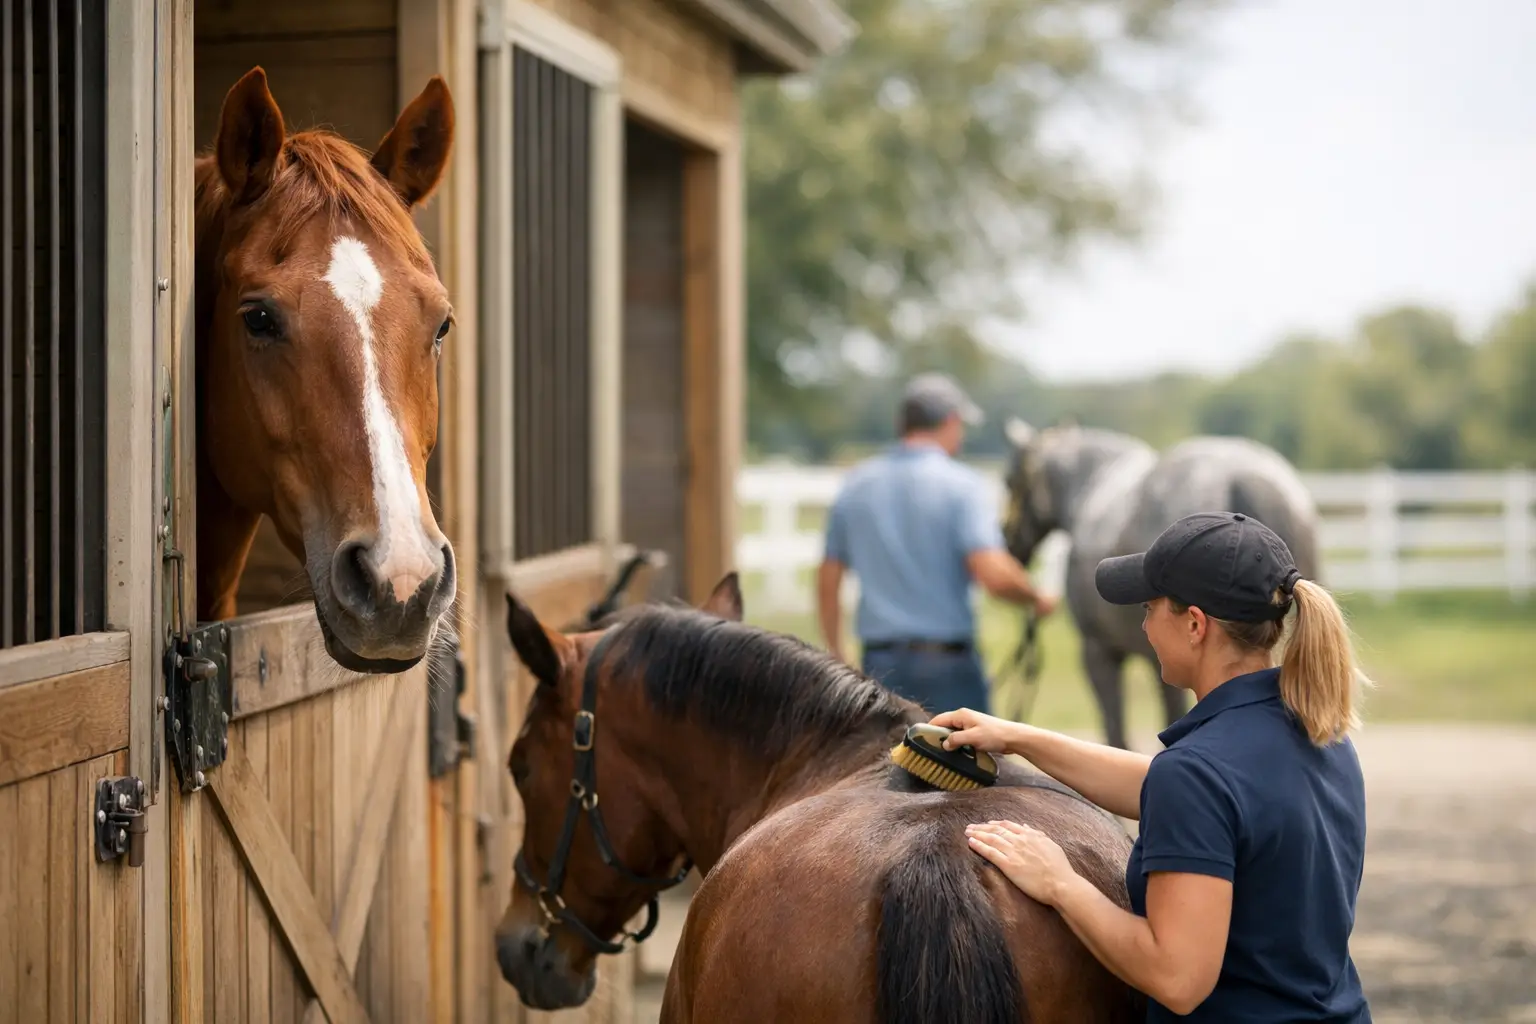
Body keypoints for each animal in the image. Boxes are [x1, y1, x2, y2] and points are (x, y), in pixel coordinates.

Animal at [1000, 419, 1321, 749]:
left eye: (1010, 481)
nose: (1009, 546)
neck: (1091, 487)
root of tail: (1245, 478)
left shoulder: (1100, 652)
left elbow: (1117, 732)